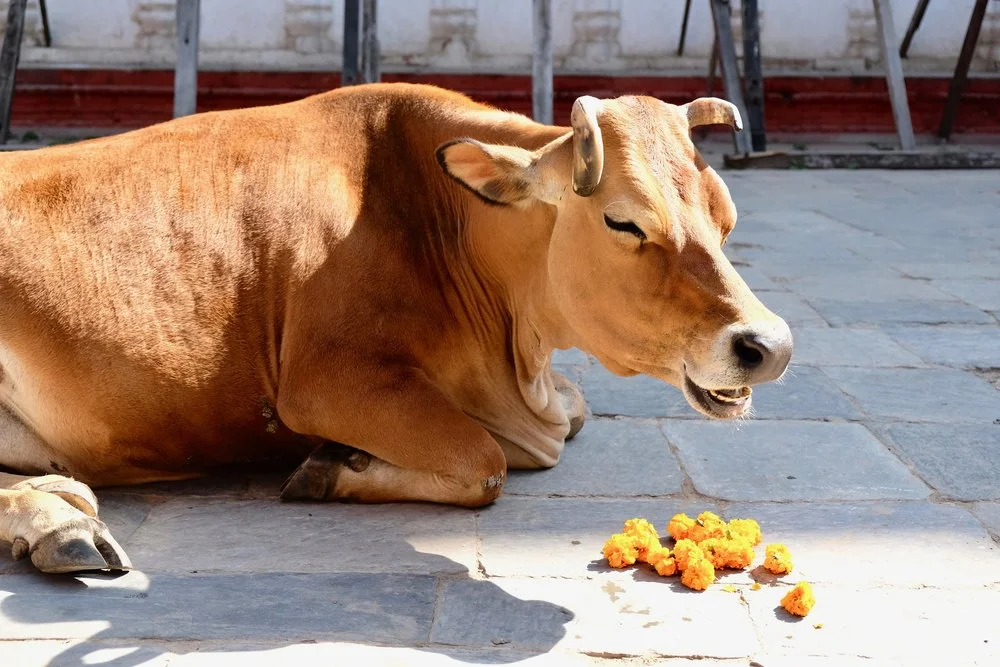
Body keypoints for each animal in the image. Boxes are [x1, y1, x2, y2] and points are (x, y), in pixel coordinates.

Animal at [0, 83, 791, 574]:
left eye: (726, 217)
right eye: (624, 221)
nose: (769, 346)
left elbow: (570, 416)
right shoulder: (326, 384)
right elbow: (484, 461)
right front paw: (329, 468)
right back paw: (60, 525)